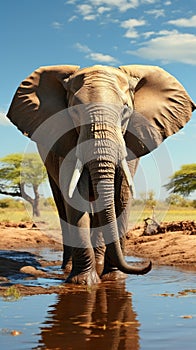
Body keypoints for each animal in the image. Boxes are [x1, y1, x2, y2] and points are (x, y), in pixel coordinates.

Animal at [6, 65, 195, 284]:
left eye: (125, 111)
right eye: (74, 111)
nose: (147, 264)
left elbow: (121, 197)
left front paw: (114, 278)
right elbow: (75, 197)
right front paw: (84, 283)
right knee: (62, 204)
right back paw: (68, 267)